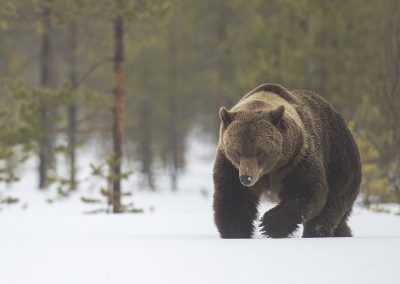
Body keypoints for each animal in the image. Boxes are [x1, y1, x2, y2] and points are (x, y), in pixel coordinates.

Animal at [212, 83, 362, 239]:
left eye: (259, 152)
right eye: (237, 151)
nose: (246, 178)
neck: (269, 171)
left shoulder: (296, 160)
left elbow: (307, 191)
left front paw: (268, 225)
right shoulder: (230, 165)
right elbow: (234, 198)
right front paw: (236, 233)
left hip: (339, 162)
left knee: (330, 207)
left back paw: (317, 233)